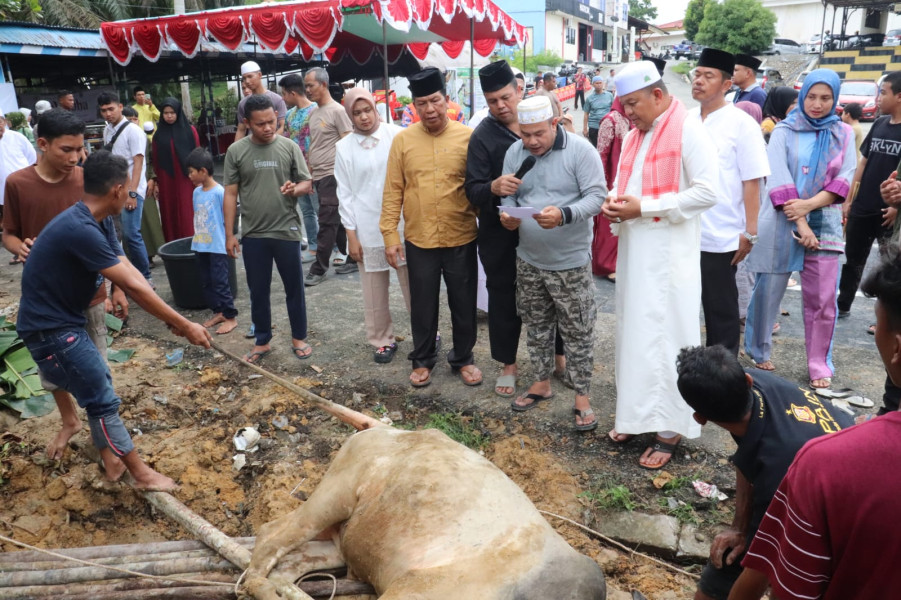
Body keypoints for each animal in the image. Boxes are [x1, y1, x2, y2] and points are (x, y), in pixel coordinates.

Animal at [241, 426, 604, 600]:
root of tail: (381, 430)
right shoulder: (413, 591)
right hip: (333, 494)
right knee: (271, 535)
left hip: (339, 541)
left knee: (288, 566)